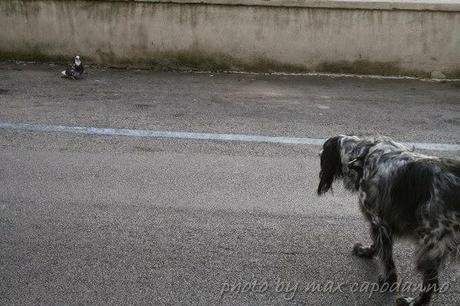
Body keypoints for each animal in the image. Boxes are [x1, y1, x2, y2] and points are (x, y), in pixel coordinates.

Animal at [316, 135, 460, 306]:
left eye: (323, 149)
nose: (318, 154)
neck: (364, 154)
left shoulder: (379, 220)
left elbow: (386, 256)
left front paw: (388, 281)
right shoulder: (380, 221)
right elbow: (377, 244)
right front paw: (366, 251)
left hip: (430, 243)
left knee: (429, 283)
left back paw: (412, 302)